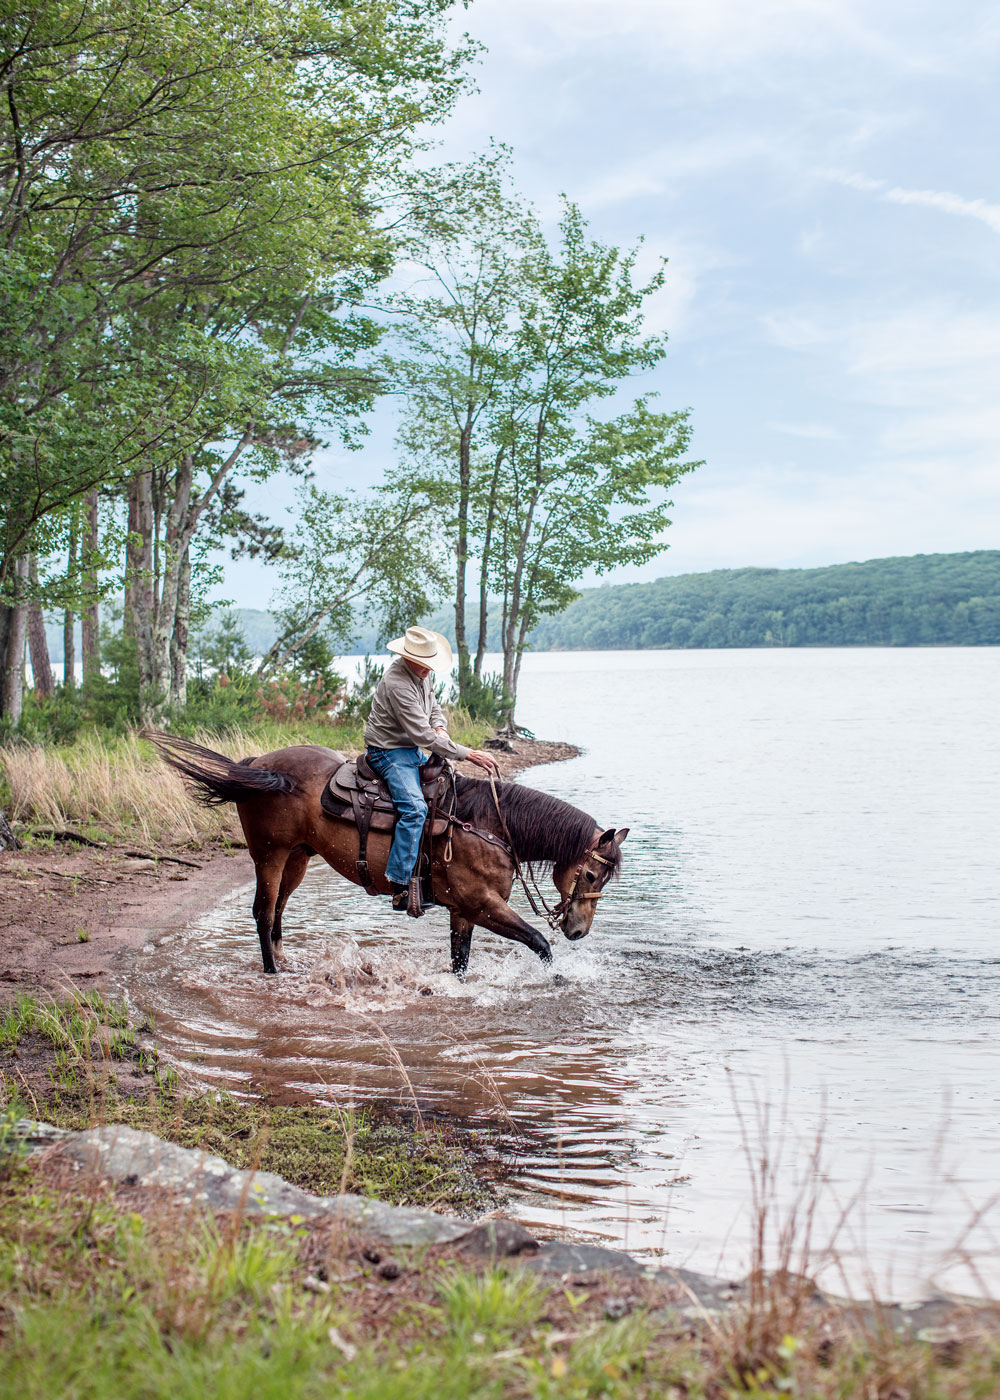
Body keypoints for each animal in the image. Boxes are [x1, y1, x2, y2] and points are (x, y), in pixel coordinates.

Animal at [149, 733, 621, 974]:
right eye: (591, 876)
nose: (579, 931)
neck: (487, 824)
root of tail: (257, 764)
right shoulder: (482, 904)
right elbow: (539, 942)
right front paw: (555, 978)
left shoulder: (463, 911)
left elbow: (460, 961)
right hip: (269, 855)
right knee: (263, 912)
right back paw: (273, 971)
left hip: (297, 857)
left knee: (278, 910)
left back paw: (285, 961)